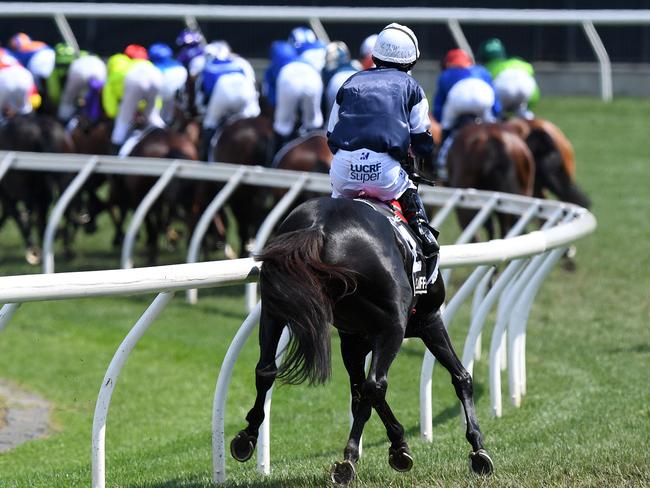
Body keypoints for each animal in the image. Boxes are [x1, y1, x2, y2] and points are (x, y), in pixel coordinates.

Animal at [228, 195, 492, 484]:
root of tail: (318, 228)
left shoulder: (352, 340)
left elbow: (358, 393)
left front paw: (399, 445)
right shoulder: (427, 320)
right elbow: (461, 377)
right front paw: (478, 449)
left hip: (274, 308)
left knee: (266, 369)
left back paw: (246, 437)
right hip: (393, 327)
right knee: (376, 384)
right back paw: (347, 461)